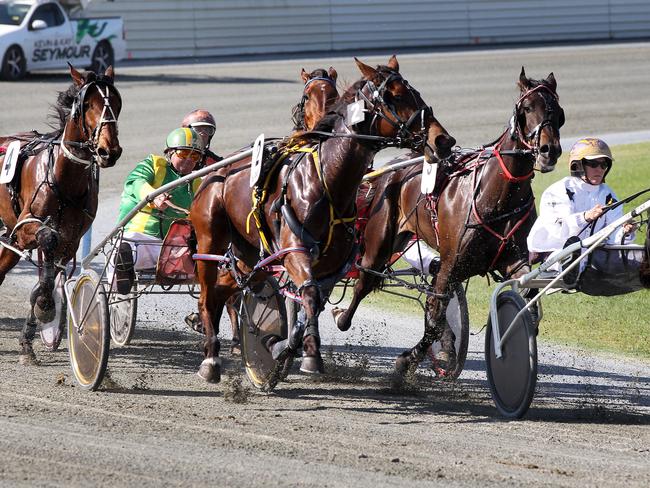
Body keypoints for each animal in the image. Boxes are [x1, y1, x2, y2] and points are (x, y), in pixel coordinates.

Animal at [0, 63, 121, 362]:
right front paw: (45, 305)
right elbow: (47, 238)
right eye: (87, 104)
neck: (63, 178)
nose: (108, 151)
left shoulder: (70, 241)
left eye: (115, 103)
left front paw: (30, 337)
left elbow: (52, 270)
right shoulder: (26, 227)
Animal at [190, 55, 454, 384]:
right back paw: (210, 359)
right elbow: (308, 296)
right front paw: (286, 349)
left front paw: (295, 352)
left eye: (414, 91)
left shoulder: (329, 265)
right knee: (207, 294)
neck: (326, 180)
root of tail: (215, 171)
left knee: (227, 288)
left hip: (248, 253)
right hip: (210, 237)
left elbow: (312, 303)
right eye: (394, 96)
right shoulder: (294, 251)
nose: (442, 140)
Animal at [332, 67, 560, 374]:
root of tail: (391, 169)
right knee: (364, 282)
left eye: (557, 110)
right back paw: (339, 316)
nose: (550, 150)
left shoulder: (514, 260)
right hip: (378, 244)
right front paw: (408, 360)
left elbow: (527, 298)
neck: (496, 194)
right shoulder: (452, 264)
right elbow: (435, 313)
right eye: (527, 108)